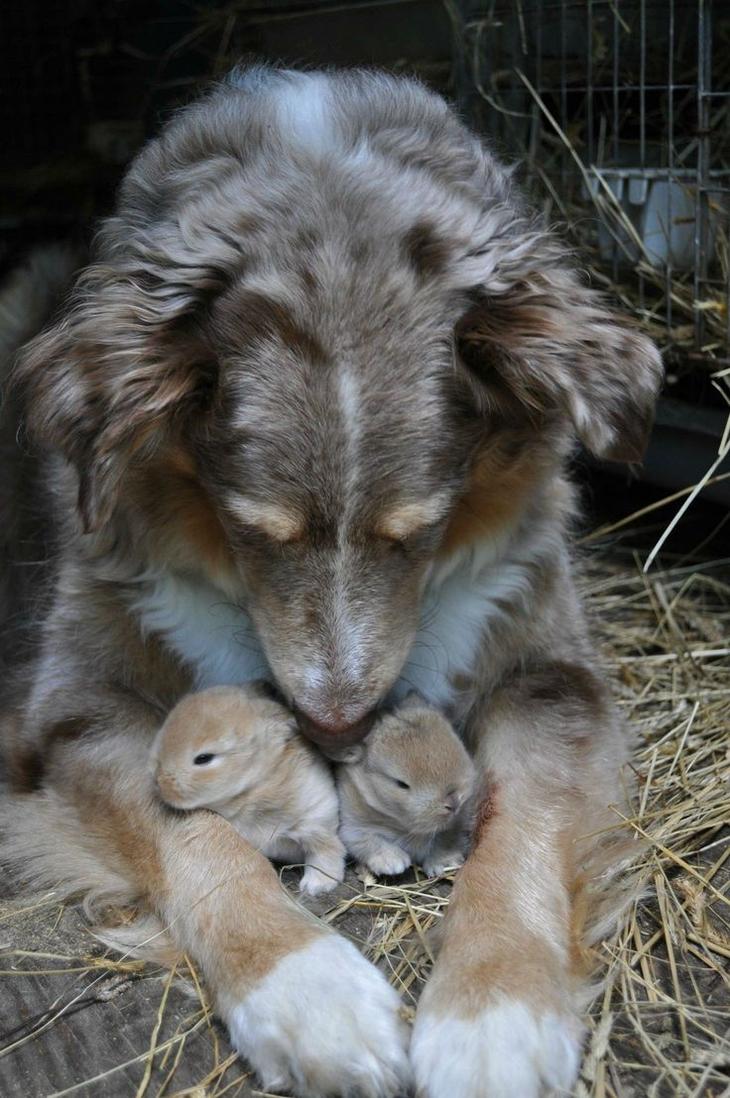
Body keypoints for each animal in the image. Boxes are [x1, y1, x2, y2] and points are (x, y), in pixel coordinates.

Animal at [150, 685, 344, 900]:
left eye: (203, 758)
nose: (159, 781)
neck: (252, 787)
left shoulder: (316, 821)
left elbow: (325, 853)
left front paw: (316, 885)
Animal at [333, 693, 476, 882]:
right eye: (401, 784)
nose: (453, 802)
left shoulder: (456, 825)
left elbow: (446, 840)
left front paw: (444, 863)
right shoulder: (353, 828)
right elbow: (370, 841)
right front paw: (394, 863)